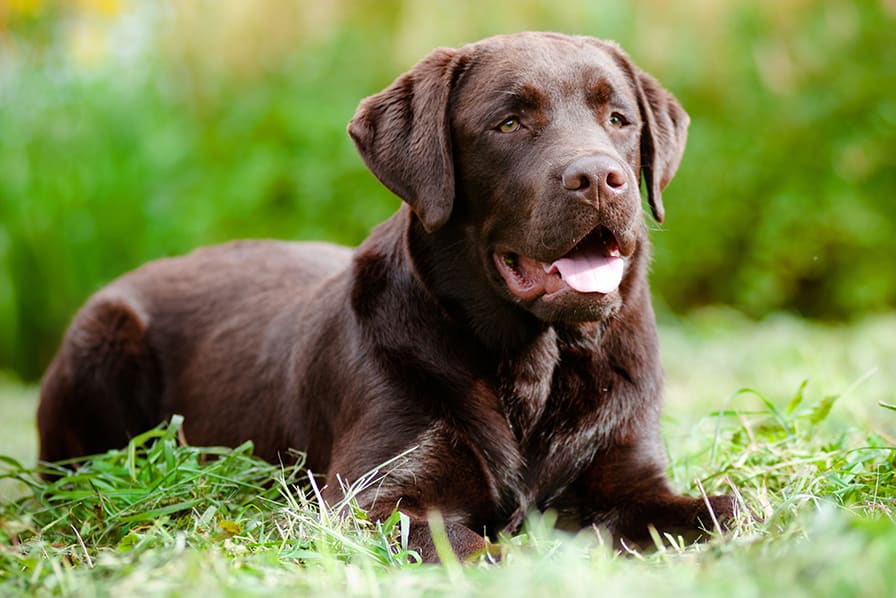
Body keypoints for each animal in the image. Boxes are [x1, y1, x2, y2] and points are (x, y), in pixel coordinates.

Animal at [36, 32, 736, 564]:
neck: (535, 364)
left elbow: (730, 508)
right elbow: (482, 549)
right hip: (101, 337)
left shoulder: (631, 473)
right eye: (509, 122)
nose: (599, 177)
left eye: (618, 119)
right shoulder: (372, 501)